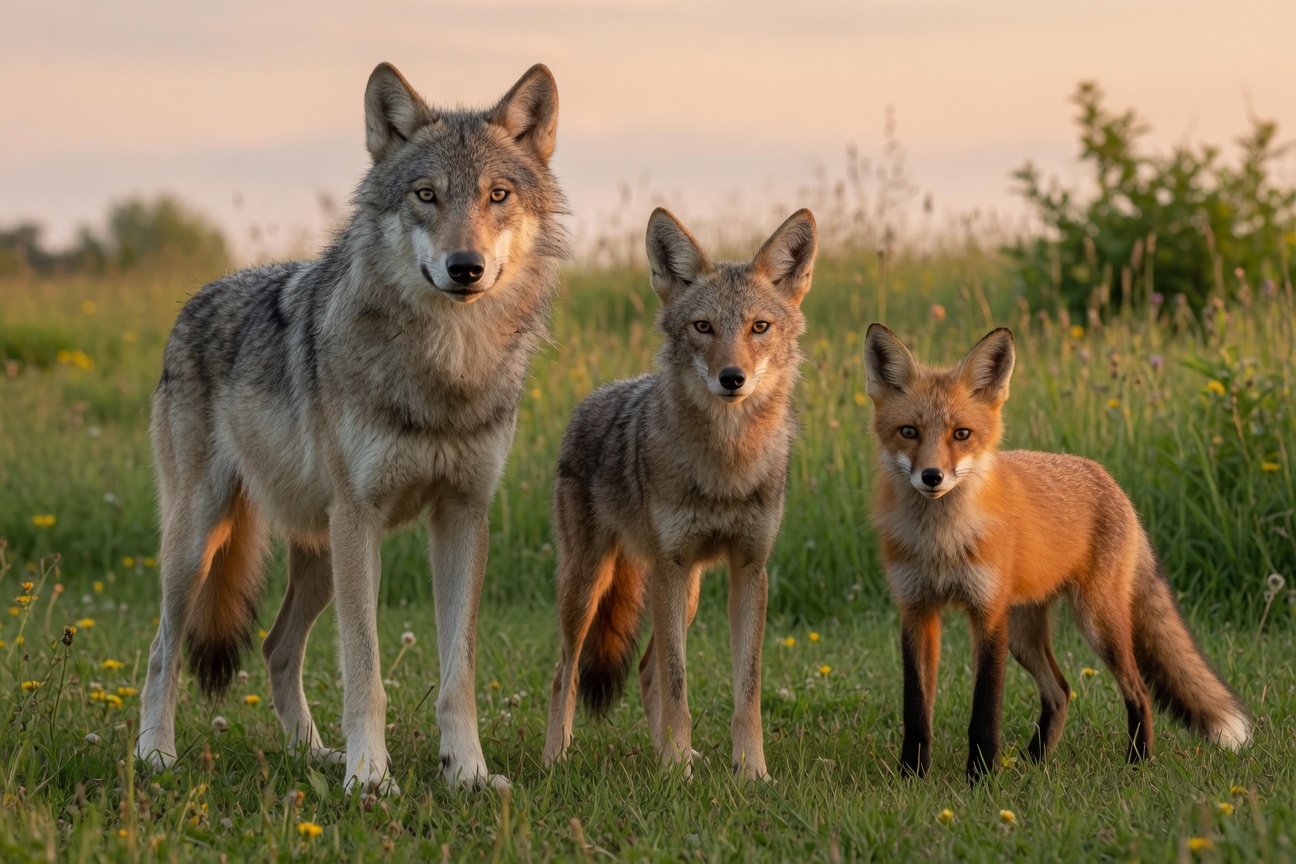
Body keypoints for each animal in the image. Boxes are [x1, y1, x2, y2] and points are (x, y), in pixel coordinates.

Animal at [136, 61, 569, 794]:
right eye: (426, 195)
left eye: (498, 195)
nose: (466, 267)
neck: (446, 369)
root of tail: (196, 299)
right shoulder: (361, 518)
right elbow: (366, 672)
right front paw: (370, 778)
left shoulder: (462, 515)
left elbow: (458, 676)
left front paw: (468, 774)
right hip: (204, 542)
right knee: (162, 650)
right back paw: (155, 757)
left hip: (320, 555)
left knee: (276, 646)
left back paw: (311, 754)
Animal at [540, 208, 818, 780]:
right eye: (702, 327)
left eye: (759, 327)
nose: (732, 378)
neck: (725, 466)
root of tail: (594, 397)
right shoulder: (671, 567)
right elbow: (678, 688)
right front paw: (676, 775)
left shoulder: (749, 570)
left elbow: (746, 691)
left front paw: (749, 772)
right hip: (589, 585)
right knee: (565, 671)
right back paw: (557, 757)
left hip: (684, 592)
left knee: (646, 670)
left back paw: (672, 752)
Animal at [863, 323, 1251, 782]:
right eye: (909, 432)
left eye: (961, 434)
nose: (932, 476)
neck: (943, 543)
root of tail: (1108, 479)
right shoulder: (917, 611)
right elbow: (917, 711)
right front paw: (911, 778)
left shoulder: (988, 615)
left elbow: (985, 712)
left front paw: (981, 779)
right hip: (1024, 634)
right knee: (1061, 691)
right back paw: (1034, 764)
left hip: (1096, 622)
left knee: (1138, 690)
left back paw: (1137, 762)